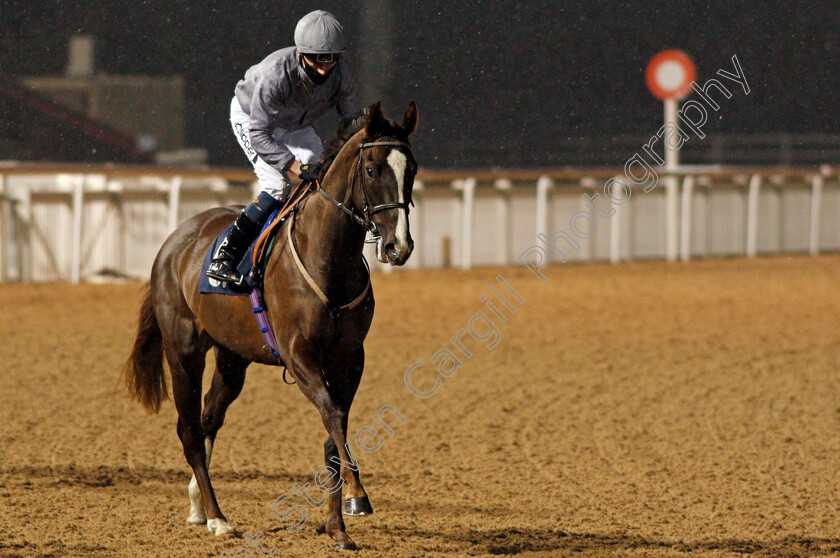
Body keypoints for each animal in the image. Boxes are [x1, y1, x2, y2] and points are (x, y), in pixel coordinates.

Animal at [120, 101, 416, 552]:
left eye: (411, 169)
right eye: (371, 169)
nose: (399, 247)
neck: (327, 256)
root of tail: (173, 243)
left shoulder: (350, 358)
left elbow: (334, 431)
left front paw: (337, 527)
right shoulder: (299, 356)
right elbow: (332, 415)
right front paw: (357, 497)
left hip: (232, 358)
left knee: (209, 418)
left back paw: (198, 505)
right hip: (183, 351)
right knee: (189, 430)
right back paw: (218, 517)